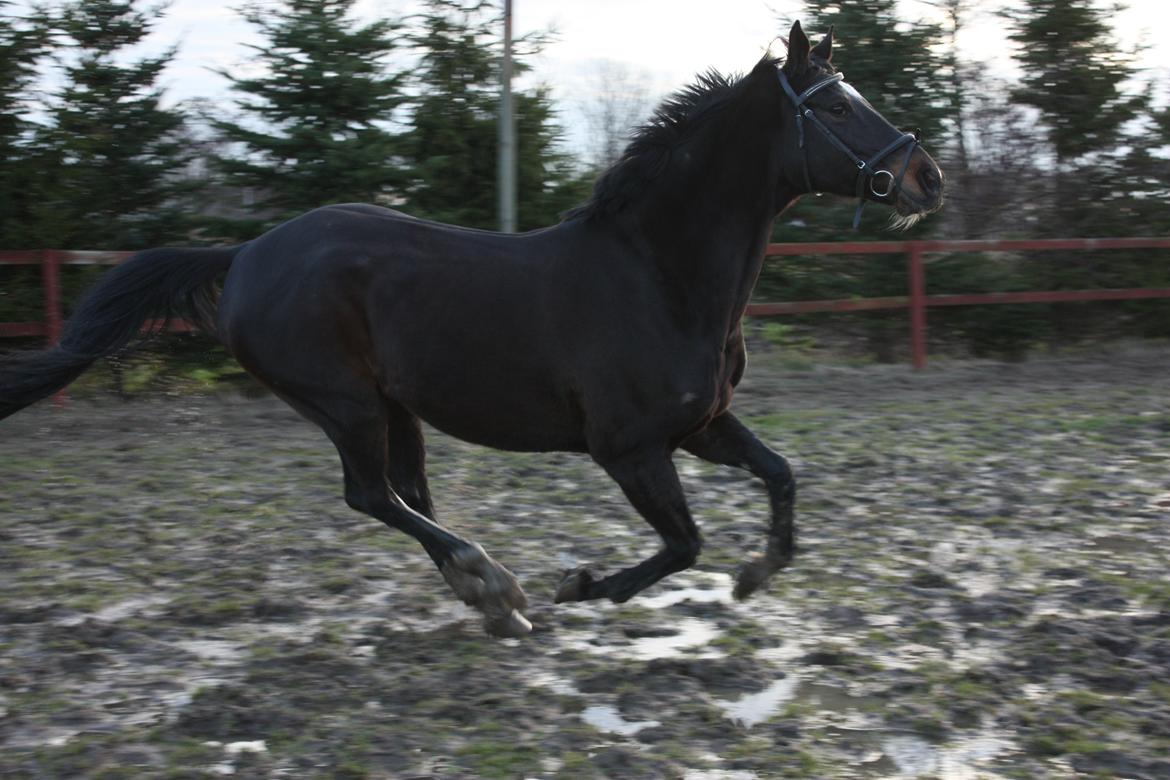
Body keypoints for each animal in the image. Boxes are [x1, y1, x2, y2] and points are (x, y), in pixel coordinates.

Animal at [2, 22, 940, 640]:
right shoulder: (630, 447)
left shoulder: (701, 425)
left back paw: (485, 596)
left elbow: (780, 474)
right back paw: (497, 586)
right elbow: (682, 542)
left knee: (409, 497)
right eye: (836, 107)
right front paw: (582, 586)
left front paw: (758, 573)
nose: (924, 176)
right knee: (372, 496)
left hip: (394, 405)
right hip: (343, 402)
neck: (659, 273)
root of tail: (247, 253)